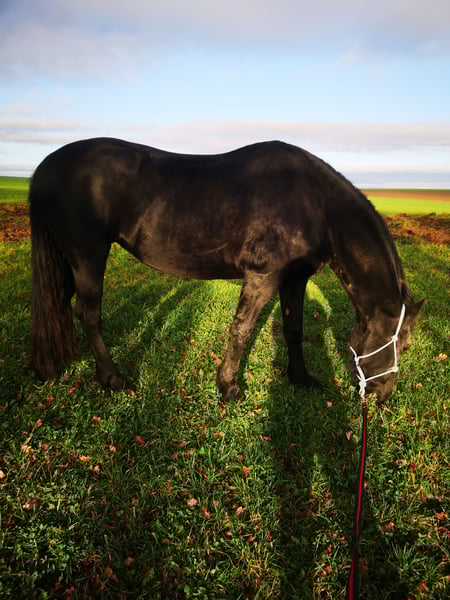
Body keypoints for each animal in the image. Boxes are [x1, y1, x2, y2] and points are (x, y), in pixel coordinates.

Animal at [29, 138, 425, 403]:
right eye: (401, 345)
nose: (382, 396)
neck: (317, 205)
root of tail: (45, 166)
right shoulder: (264, 276)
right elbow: (242, 329)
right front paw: (229, 387)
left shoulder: (295, 278)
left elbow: (294, 329)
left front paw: (300, 378)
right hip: (88, 256)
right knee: (89, 314)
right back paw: (112, 379)